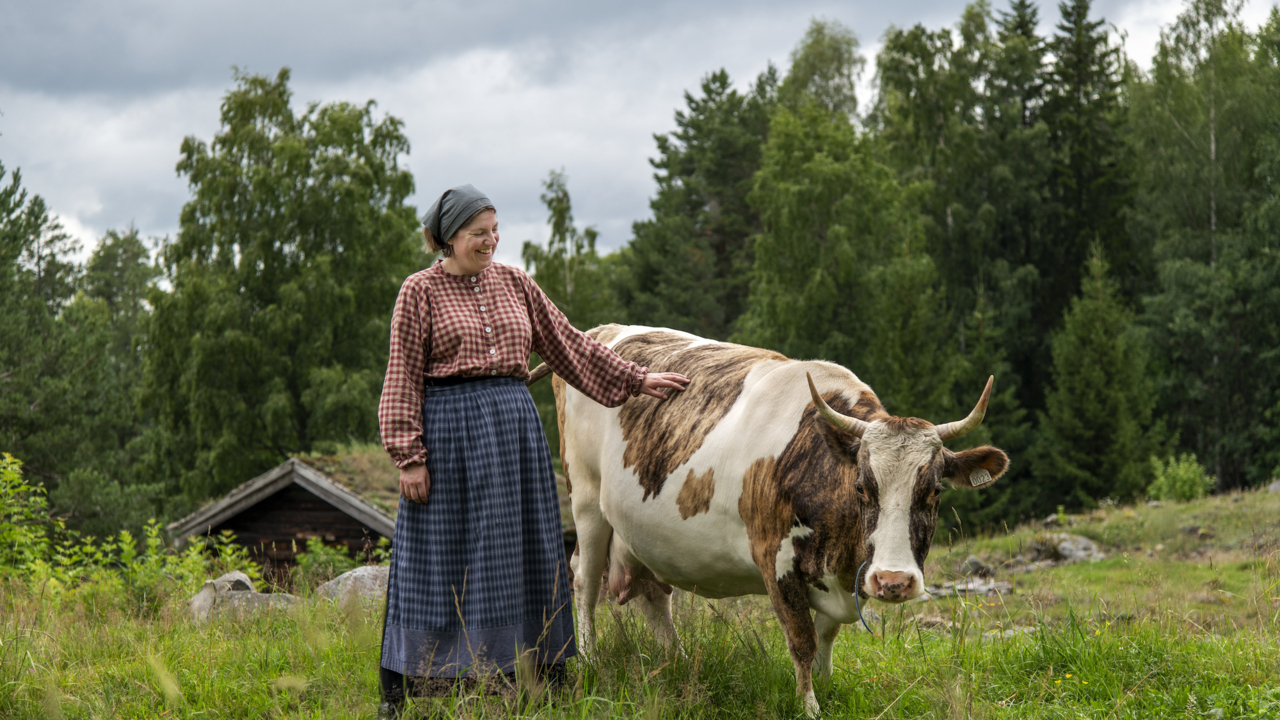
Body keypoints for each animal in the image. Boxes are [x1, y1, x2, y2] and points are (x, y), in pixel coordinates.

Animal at [529, 324, 1008, 712]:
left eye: (935, 491)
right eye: (861, 488)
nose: (893, 582)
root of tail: (603, 330)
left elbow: (825, 638)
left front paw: (826, 688)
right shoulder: (774, 559)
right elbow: (802, 640)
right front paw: (810, 706)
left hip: (644, 535)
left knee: (653, 596)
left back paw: (677, 663)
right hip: (586, 501)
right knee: (584, 582)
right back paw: (590, 661)